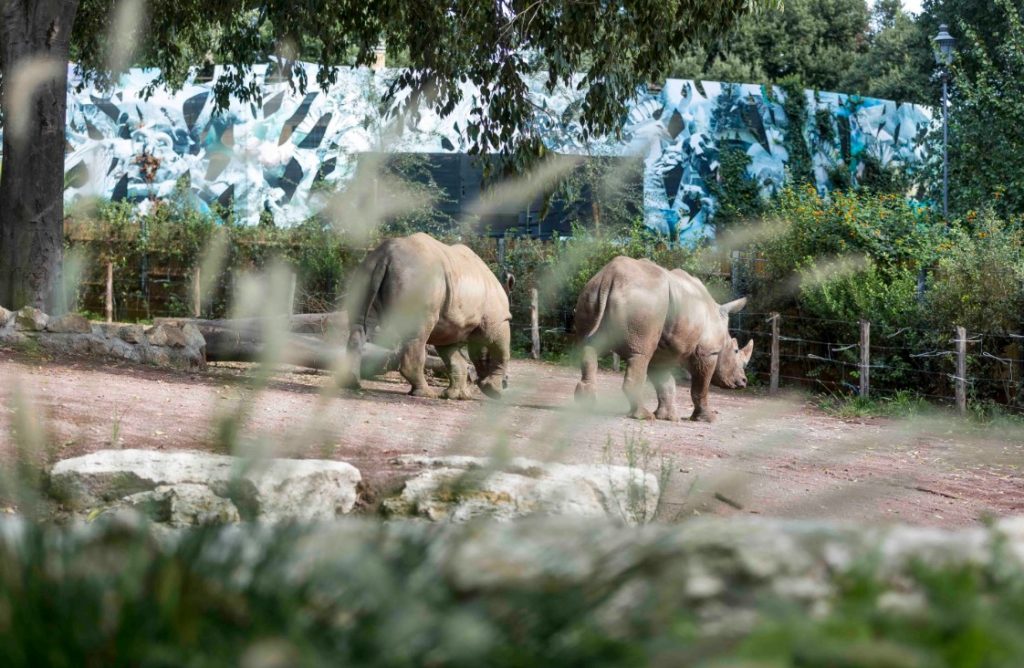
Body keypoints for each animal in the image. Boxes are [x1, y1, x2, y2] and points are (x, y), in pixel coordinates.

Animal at [342, 232, 512, 399]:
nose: (506, 384)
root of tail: (385, 255)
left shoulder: (450, 329)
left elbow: (455, 359)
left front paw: (457, 396)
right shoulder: (498, 322)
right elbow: (502, 352)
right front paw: (494, 391)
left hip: (366, 270)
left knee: (361, 324)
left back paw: (353, 383)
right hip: (418, 277)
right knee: (418, 335)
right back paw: (426, 394)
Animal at [577, 256, 753, 422]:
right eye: (736, 350)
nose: (744, 381)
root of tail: (610, 276)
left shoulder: (661, 353)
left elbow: (666, 384)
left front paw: (668, 417)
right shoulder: (708, 352)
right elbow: (700, 388)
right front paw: (708, 419)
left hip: (592, 292)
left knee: (590, 345)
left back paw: (585, 405)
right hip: (645, 300)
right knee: (640, 355)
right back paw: (644, 416)